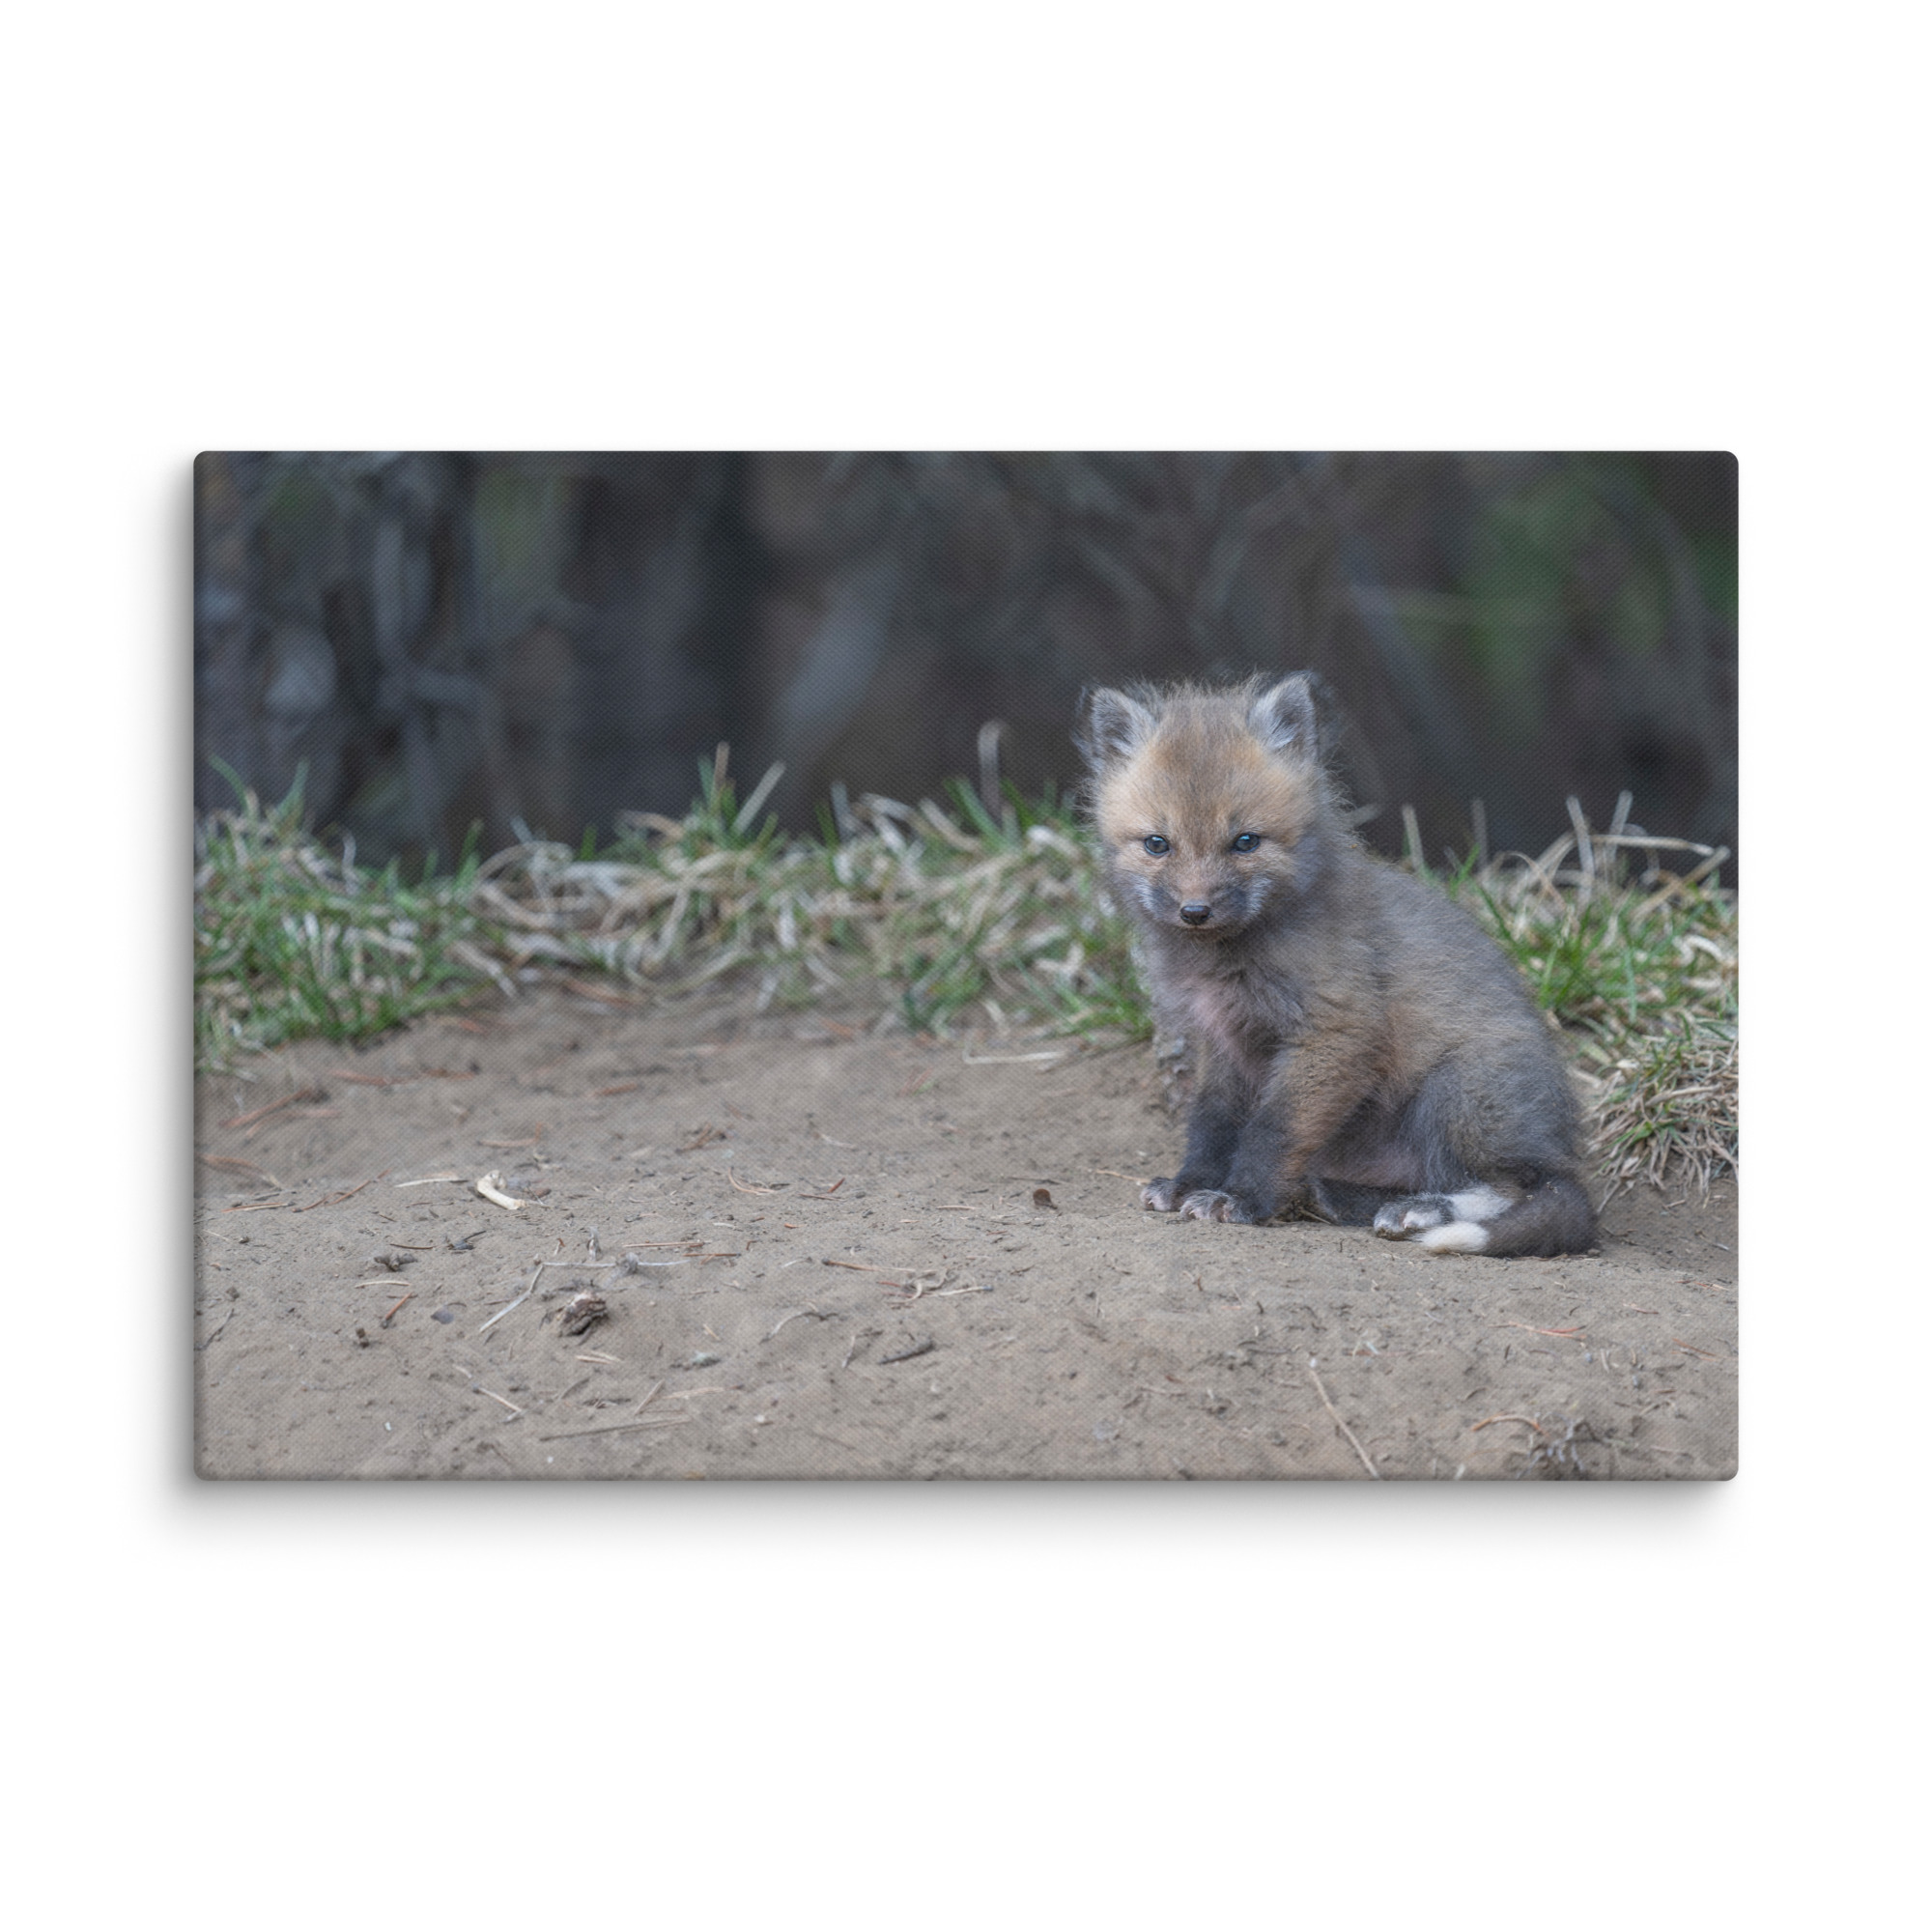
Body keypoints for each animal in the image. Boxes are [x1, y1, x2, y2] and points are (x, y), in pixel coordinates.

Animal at [1078, 673, 1595, 1257]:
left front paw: (1242, 1200)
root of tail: (1559, 1144)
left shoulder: (1335, 1030)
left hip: (1457, 1092)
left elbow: (1272, 1129)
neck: (1228, 961)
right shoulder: (1223, 1041)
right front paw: (1192, 1184)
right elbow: (1212, 1123)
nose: (1195, 911)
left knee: (1521, 1187)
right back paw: (1341, 1197)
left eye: (1245, 842)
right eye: (1157, 844)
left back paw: (1422, 1211)